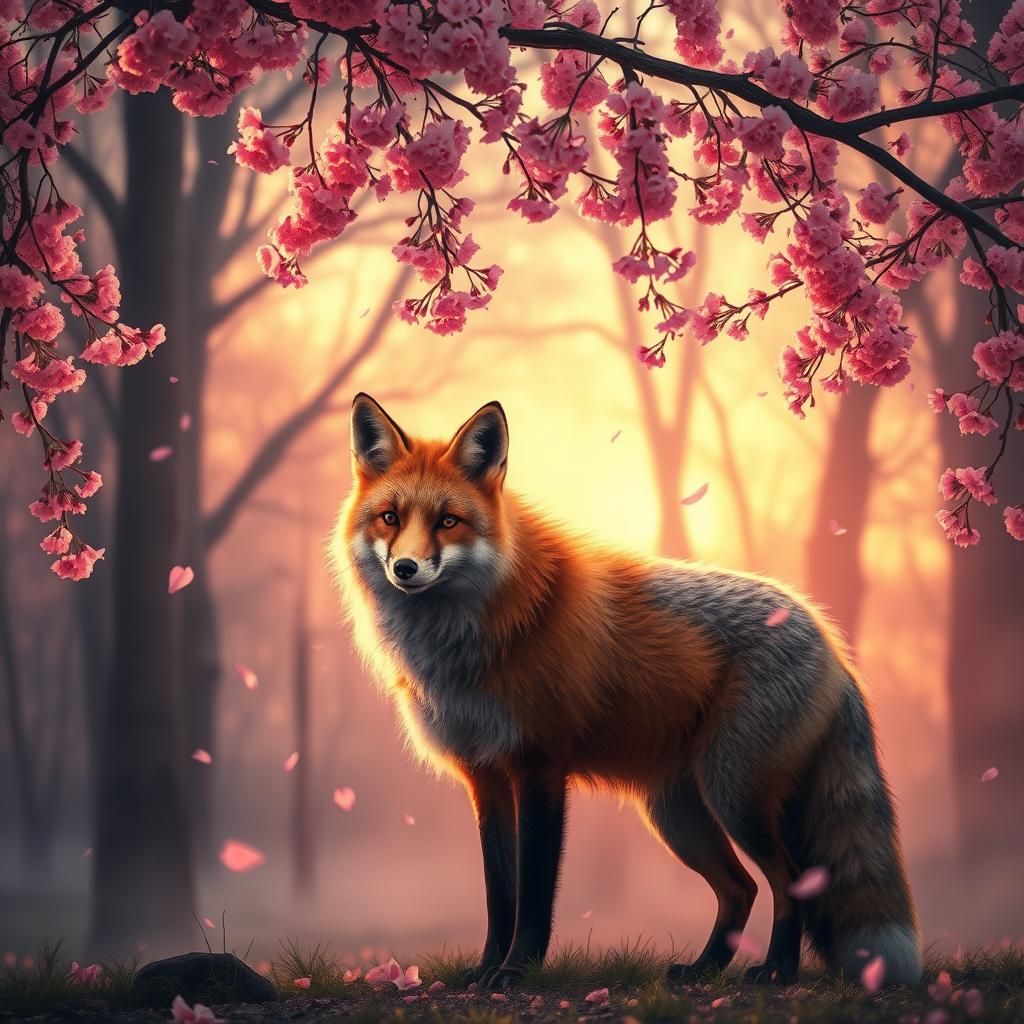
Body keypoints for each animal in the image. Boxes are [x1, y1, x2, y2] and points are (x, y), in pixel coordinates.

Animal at [331, 393, 923, 991]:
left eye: (448, 521)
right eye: (390, 518)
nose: (405, 568)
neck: (470, 641)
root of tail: (832, 642)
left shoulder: (540, 765)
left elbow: (534, 890)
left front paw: (517, 970)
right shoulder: (485, 777)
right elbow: (499, 894)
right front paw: (484, 969)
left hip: (735, 795)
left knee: (791, 881)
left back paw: (778, 970)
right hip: (678, 815)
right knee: (742, 888)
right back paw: (703, 970)